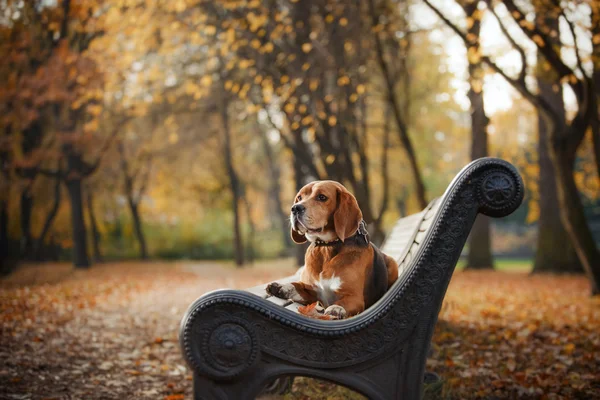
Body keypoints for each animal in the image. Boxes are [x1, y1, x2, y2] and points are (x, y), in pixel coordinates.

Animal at [268, 181, 398, 318]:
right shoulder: (313, 292)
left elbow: (343, 303)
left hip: (392, 263)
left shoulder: (354, 298)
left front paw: (337, 308)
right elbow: (298, 286)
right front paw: (282, 287)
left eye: (322, 197)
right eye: (299, 197)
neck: (326, 247)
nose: (295, 208)